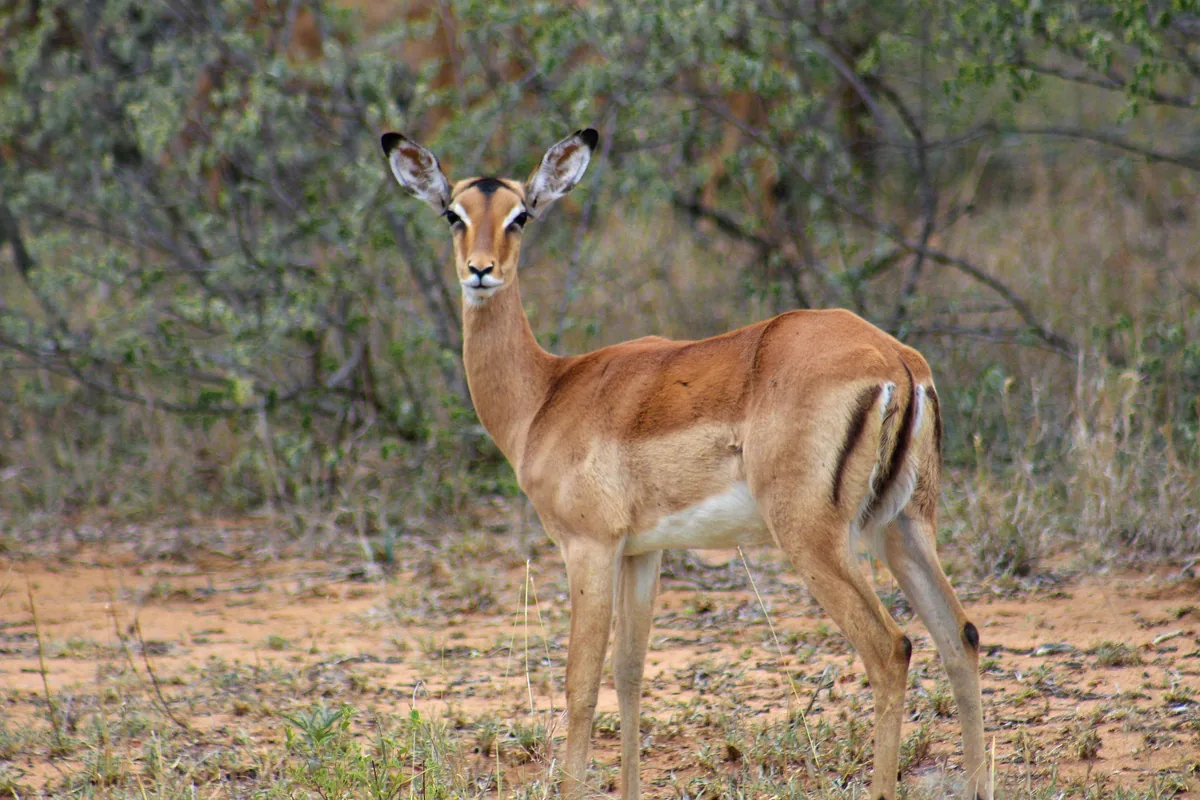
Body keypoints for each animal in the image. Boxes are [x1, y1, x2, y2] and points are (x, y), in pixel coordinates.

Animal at [381, 128, 989, 800]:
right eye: (453, 214)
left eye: (520, 216)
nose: (481, 270)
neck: (546, 394)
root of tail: (895, 361)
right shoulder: (642, 552)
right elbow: (629, 673)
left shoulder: (588, 546)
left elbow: (580, 686)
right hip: (903, 526)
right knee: (960, 637)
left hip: (815, 537)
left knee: (891, 648)